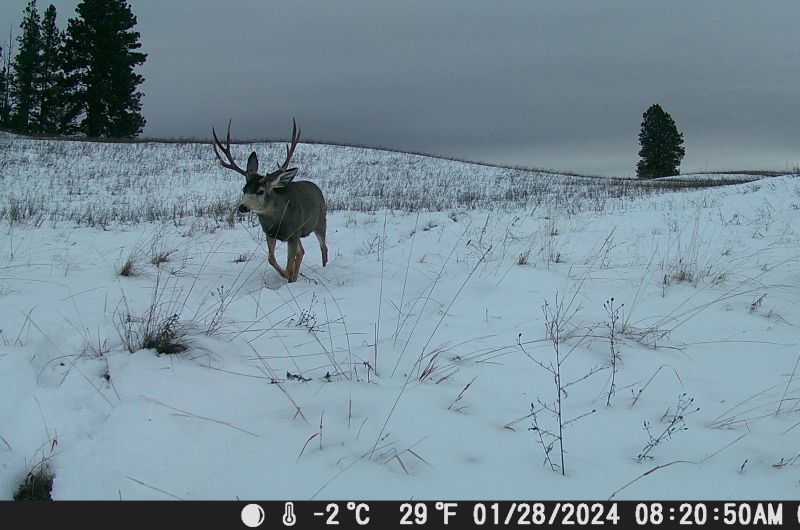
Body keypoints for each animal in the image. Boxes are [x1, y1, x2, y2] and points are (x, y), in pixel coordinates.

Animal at [212, 119, 328, 283]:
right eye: (244, 189)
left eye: (261, 191)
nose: (242, 207)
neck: (278, 220)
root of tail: (316, 187)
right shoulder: (270, 233)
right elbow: (271, 258)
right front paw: (288, 276)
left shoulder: (293, 233)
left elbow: (289, 265)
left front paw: (289, 277)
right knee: (302, 252)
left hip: (320, 222)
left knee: (323, 247)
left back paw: (323, 268)